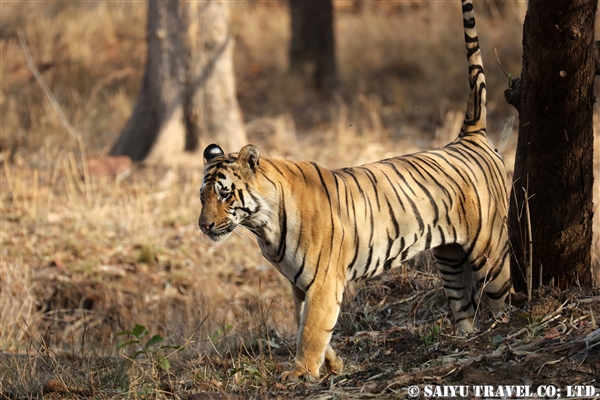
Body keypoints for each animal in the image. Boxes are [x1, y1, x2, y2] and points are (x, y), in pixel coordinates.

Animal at [199, 0, 508, 382]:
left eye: (225, 194)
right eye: (202, 196)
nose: (203, 226)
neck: (263, 227)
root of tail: (469, 136)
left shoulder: (324, 281)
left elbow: (312, 329)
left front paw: (300, 373)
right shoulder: (299, 284)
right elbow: (306, 324)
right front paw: (334, 365)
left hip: (490, 251)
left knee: (503, 295)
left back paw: (505, 330)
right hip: (450, 258)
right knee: (464, 307)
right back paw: (467, 343)